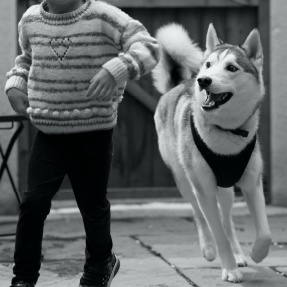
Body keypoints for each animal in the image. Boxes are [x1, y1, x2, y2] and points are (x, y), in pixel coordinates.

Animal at [153, 24, 272, 284]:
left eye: (232, 68)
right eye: (208, 64)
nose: (203, 80)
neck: (227, 130)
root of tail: (179, 84)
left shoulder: (253, 183)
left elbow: (265, 233)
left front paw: (256, 253)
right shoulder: (204, 190)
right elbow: (217, 233)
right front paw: (229, 269)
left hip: (226, 190)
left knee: (226, 219)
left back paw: (239, 254)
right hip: (185, 181)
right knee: (198, 213)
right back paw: (208, 248)